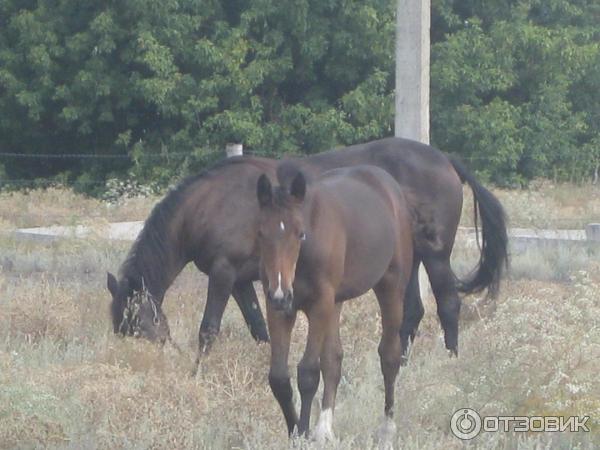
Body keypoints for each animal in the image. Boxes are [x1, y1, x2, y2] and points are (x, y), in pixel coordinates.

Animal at [106, 136, 506, 366]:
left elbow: (208, 328)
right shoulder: (242, 281)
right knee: (412, 312)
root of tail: (445, 160)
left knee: (448, 305)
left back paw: (450, 361)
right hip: (405, 264)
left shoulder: (223, 273)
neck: (212, 203)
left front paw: (198, 371)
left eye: (138, 325)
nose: (145, 363)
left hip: (435, 256)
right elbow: (259, 327)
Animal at [255, 164, 414, 440]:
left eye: (300, 233)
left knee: (389, 354)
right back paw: (325, 429)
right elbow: (279, 377)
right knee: (333, 358)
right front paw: (296, 432)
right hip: (335, 302)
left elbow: (308, 372)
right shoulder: (279, 308)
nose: (281, 293)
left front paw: (303, 434)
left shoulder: (319, 305)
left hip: (391, 287)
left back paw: (387, 428)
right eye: (262, 233)